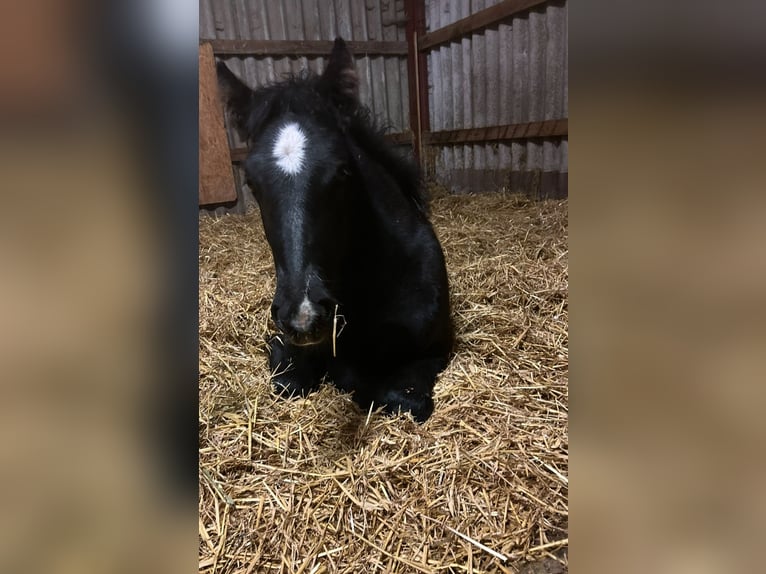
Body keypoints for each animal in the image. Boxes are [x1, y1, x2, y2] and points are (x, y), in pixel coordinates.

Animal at [218, 37, 456, 424]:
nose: (303, 315)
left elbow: (397, 398)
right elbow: (288, 381)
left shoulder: (431, 354)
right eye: (251, 182)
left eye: (344, 170)